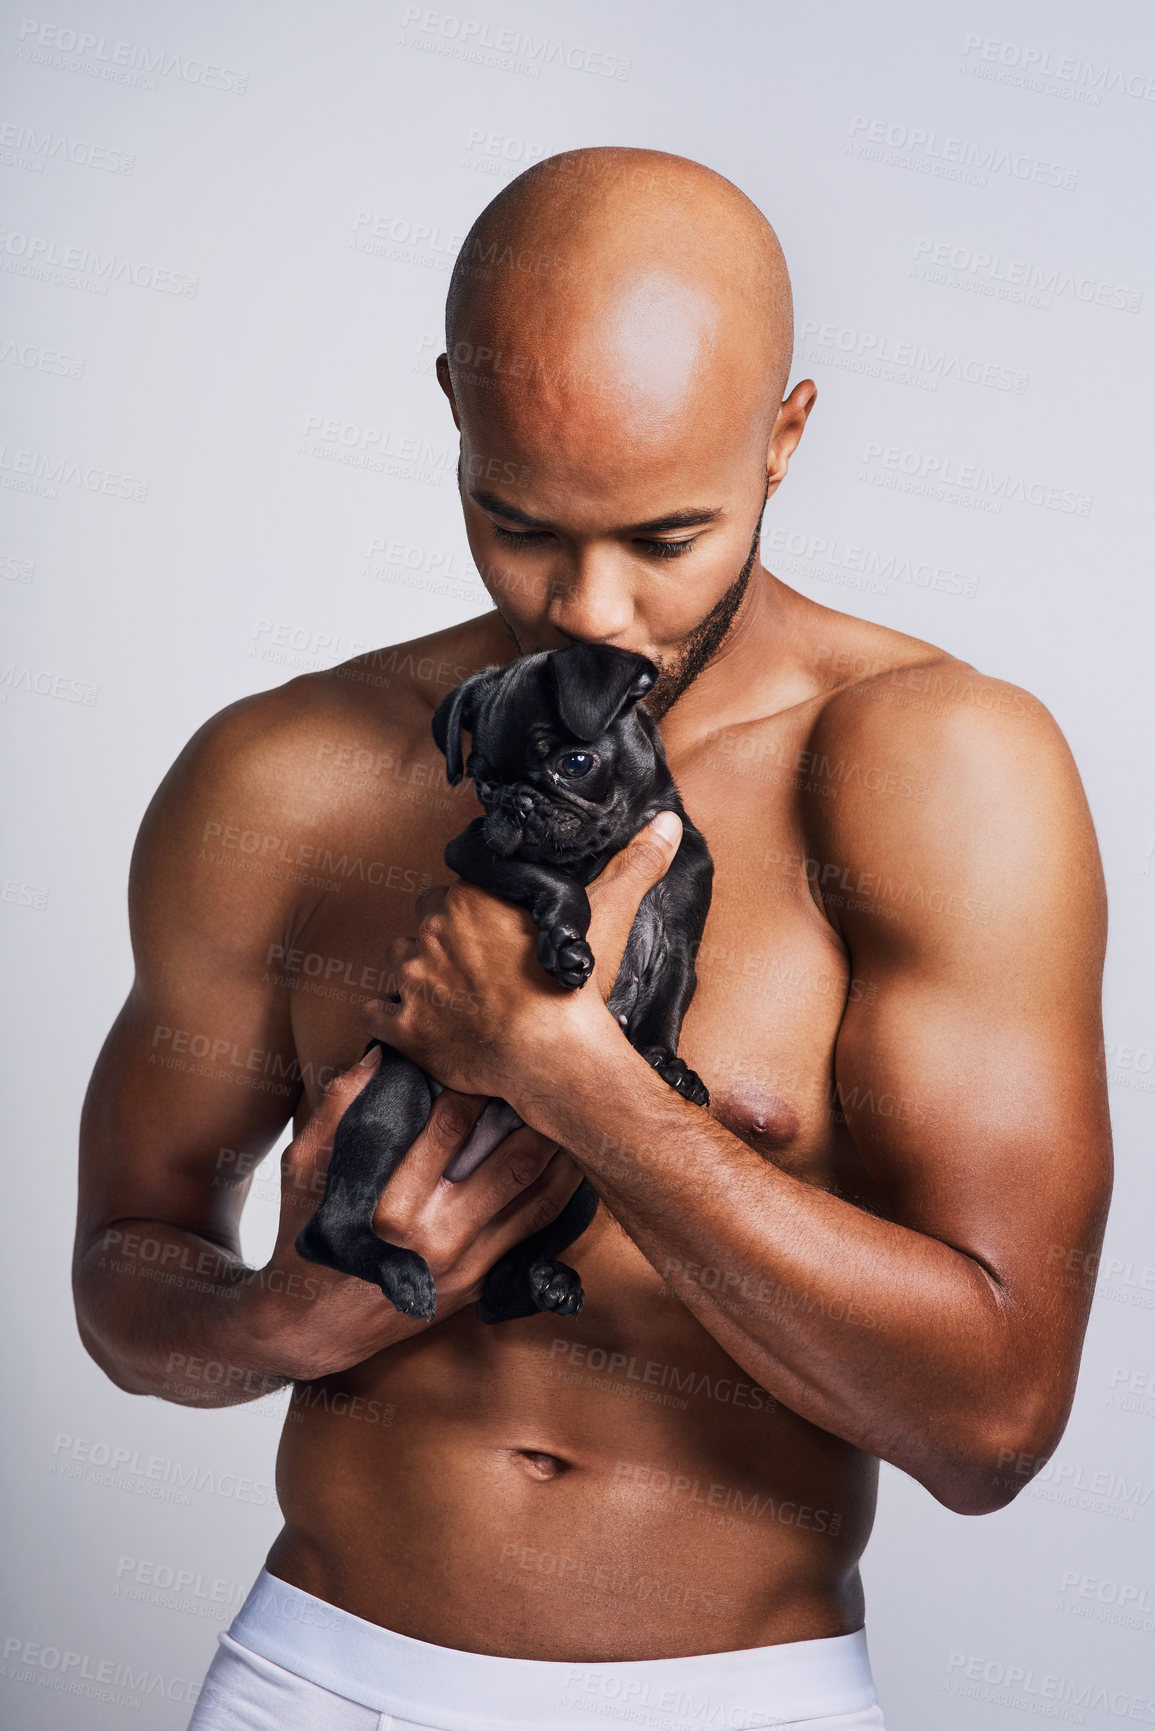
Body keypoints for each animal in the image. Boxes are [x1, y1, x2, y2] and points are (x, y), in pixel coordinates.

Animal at [296, 643, 713, 1329]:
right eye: (483, 785)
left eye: (575, 763)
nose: (516, 805)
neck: (608, 849)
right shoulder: (475, 848)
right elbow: (553, 878)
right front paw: (567, 941)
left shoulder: (680, 932)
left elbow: (669, 999)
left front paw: (667, 1065)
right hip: (401, 1092)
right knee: (324, 1230)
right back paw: (395, 1267)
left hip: (586, 1182)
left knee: (496, 1295)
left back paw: (541, 1285)